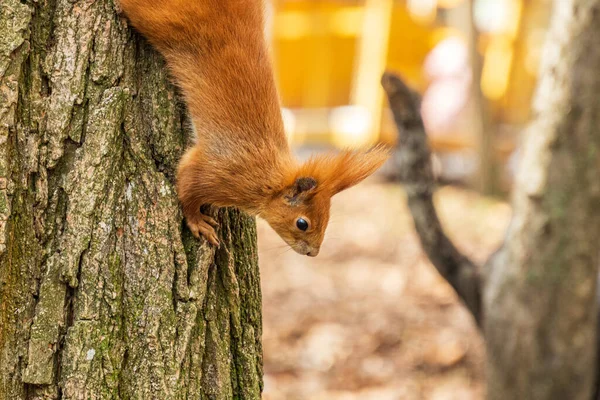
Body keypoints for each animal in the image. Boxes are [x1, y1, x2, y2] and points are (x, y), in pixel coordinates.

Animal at [118, 0, 390, 256]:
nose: (313, 253)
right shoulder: (222, 173)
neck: (269, 179)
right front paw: (197, 222)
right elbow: (187, 186)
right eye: (302, 223)